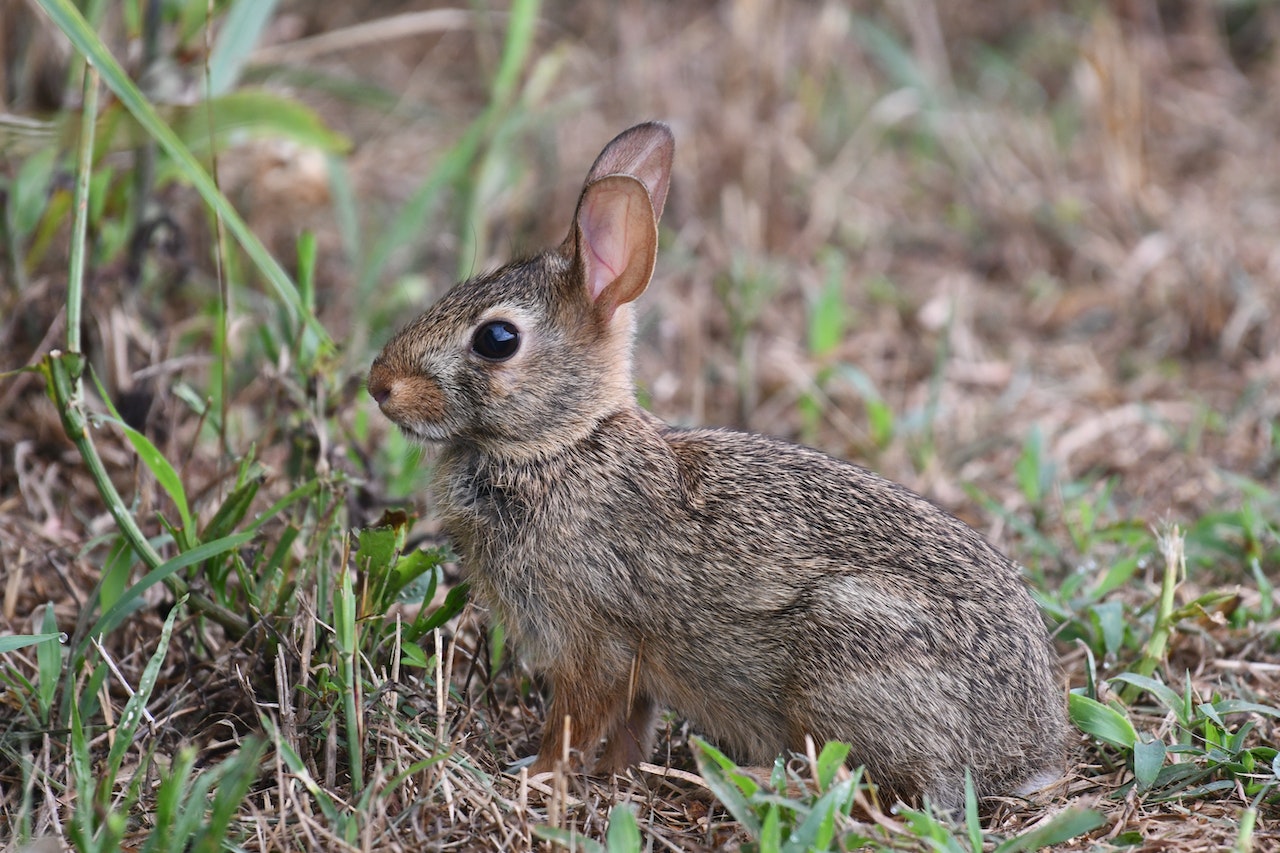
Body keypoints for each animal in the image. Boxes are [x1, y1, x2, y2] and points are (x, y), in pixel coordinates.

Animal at [367, 121, 1067, 811]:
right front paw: (614, 778)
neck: (561, 445)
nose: (379, 386)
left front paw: (535, 777)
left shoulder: (592, 641)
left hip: (848, 659)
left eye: (497, 339)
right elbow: (631, 724)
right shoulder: (635, 668)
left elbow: (575, 721)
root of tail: (1027, 754)